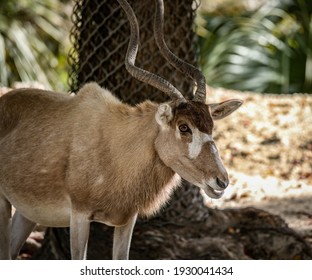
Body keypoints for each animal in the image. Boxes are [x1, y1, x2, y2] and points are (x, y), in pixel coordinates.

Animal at [0, 0, 241, 260]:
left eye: (211, 126)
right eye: (184, 127)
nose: (221, 181)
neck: (118, 146)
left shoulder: (127, 221)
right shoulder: (80, 216)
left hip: (26, 213)